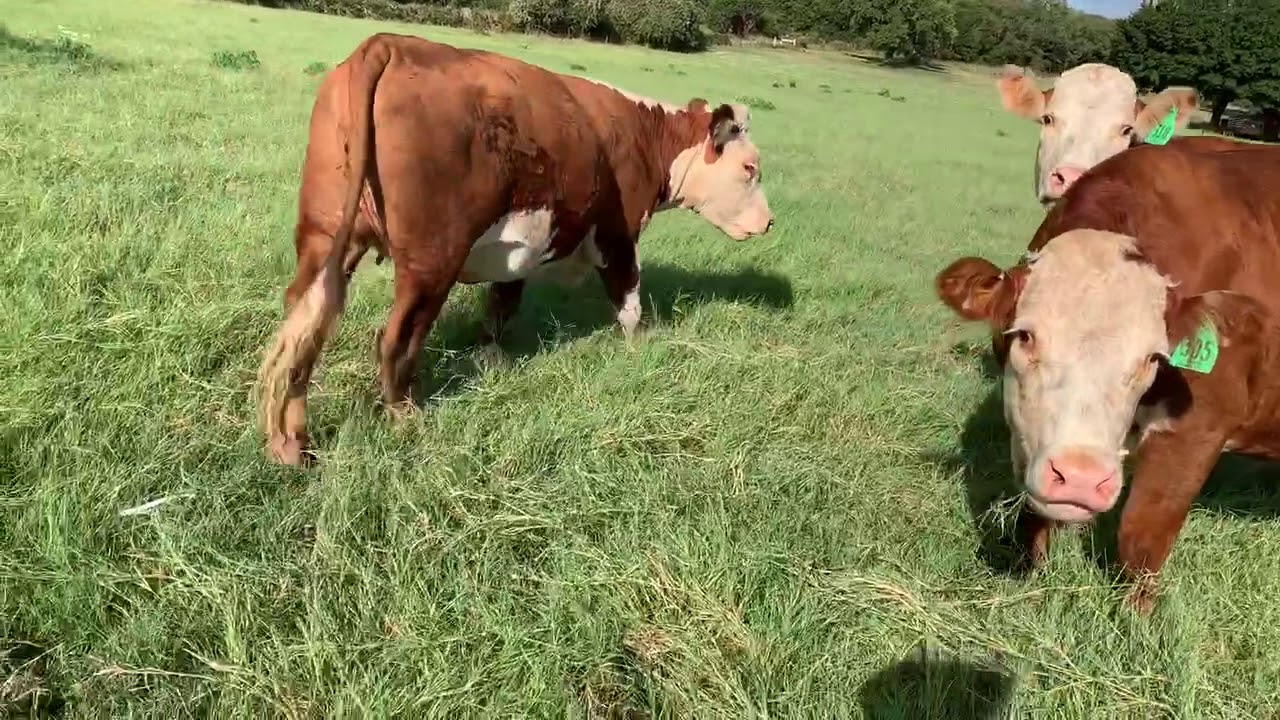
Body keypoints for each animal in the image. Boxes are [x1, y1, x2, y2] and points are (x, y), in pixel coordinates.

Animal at [254, 33, 774, 467]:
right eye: (750, 167)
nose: (769, 222)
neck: (644, 133)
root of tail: (390, 44)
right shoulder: (617, 235)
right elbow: (629, 301)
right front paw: (639, 349)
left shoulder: (523, 246)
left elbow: (503, 303)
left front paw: (491, 356)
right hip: (431, 260)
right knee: (396, 339)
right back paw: (405, 417)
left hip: (325, 238)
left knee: (304, 325)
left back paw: (290, 444)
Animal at [935, 140, 1280, 613]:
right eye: (1025, 335)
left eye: (1153, 358)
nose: (1080, 477)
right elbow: (1032, 517)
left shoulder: (1199, 427)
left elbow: (1140, 536)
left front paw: (1138, 620)